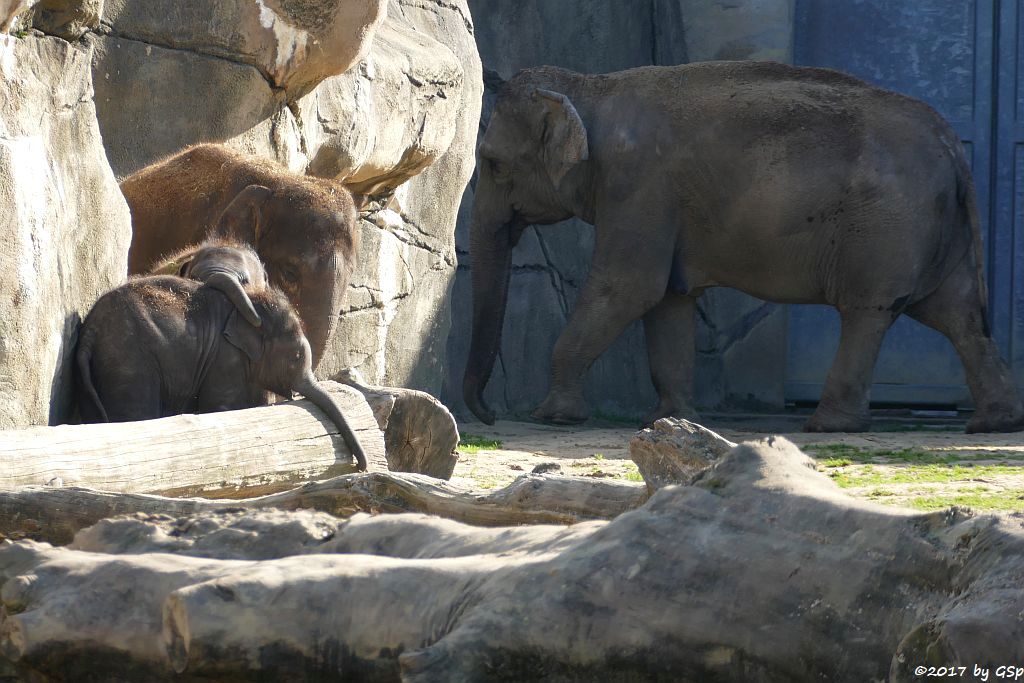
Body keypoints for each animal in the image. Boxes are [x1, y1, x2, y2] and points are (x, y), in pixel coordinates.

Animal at [466, 62, 1024, 432]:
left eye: (492, 163)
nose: (489, 417)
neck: (591, 88)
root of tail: (950, 141)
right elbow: (667, 299)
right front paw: (672, 419)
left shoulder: (640, 186)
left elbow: (627, 288)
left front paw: (553, 417)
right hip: (935, 227)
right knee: (958, 315)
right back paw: (994, 424)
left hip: (886, 225)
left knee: (870, 311)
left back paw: (830, 426)